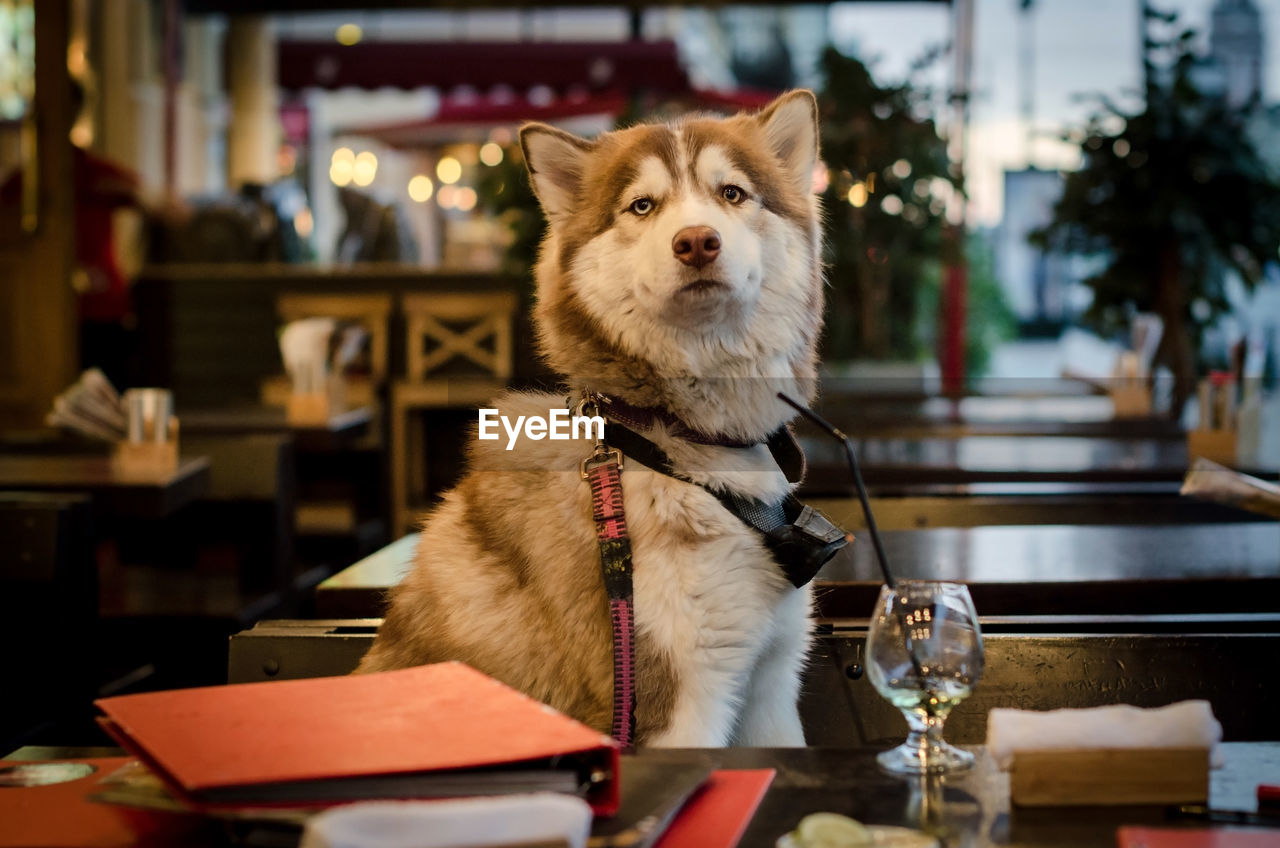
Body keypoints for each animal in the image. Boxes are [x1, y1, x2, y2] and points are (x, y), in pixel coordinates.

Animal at [355, 89, 824, 748]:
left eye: (731, 193)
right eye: (642, 206)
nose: (697, 241)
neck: (676, 447)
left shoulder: (771, 687)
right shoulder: (674, 708)